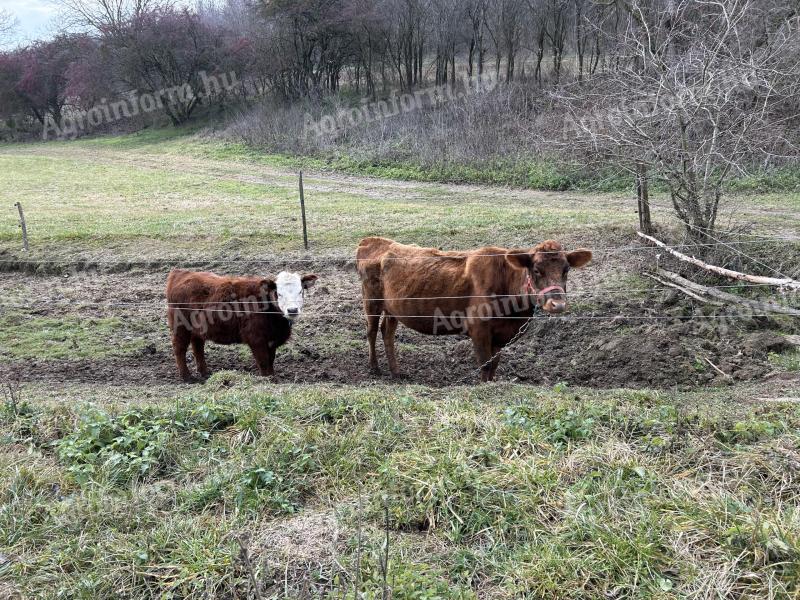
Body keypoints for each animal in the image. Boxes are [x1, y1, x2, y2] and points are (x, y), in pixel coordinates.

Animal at [165, 270, 316, 382]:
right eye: (279, 293)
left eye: (300, 291)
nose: (292, 310)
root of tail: (181, 272)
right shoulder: (256, 338)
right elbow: (263, 361)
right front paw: (267, 379)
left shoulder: (271, 340)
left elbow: (271, 360)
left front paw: (272, 377)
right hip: (180, 328)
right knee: (179, 349)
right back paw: (186, 377)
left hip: (197, 329)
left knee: (198, 348)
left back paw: (205, 372)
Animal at [360, 237, 592, 382]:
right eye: (536, 270)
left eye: (566, 270)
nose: (557, 304)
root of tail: (374, 240)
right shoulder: (478, 328)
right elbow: (485, 364)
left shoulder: (500, 334)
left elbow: (495, 363)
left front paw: (491, 384)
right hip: (371, 301)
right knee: (371, 332)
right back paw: (374, 367)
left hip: (392, 308)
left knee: (387, 333)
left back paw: (396, 371)